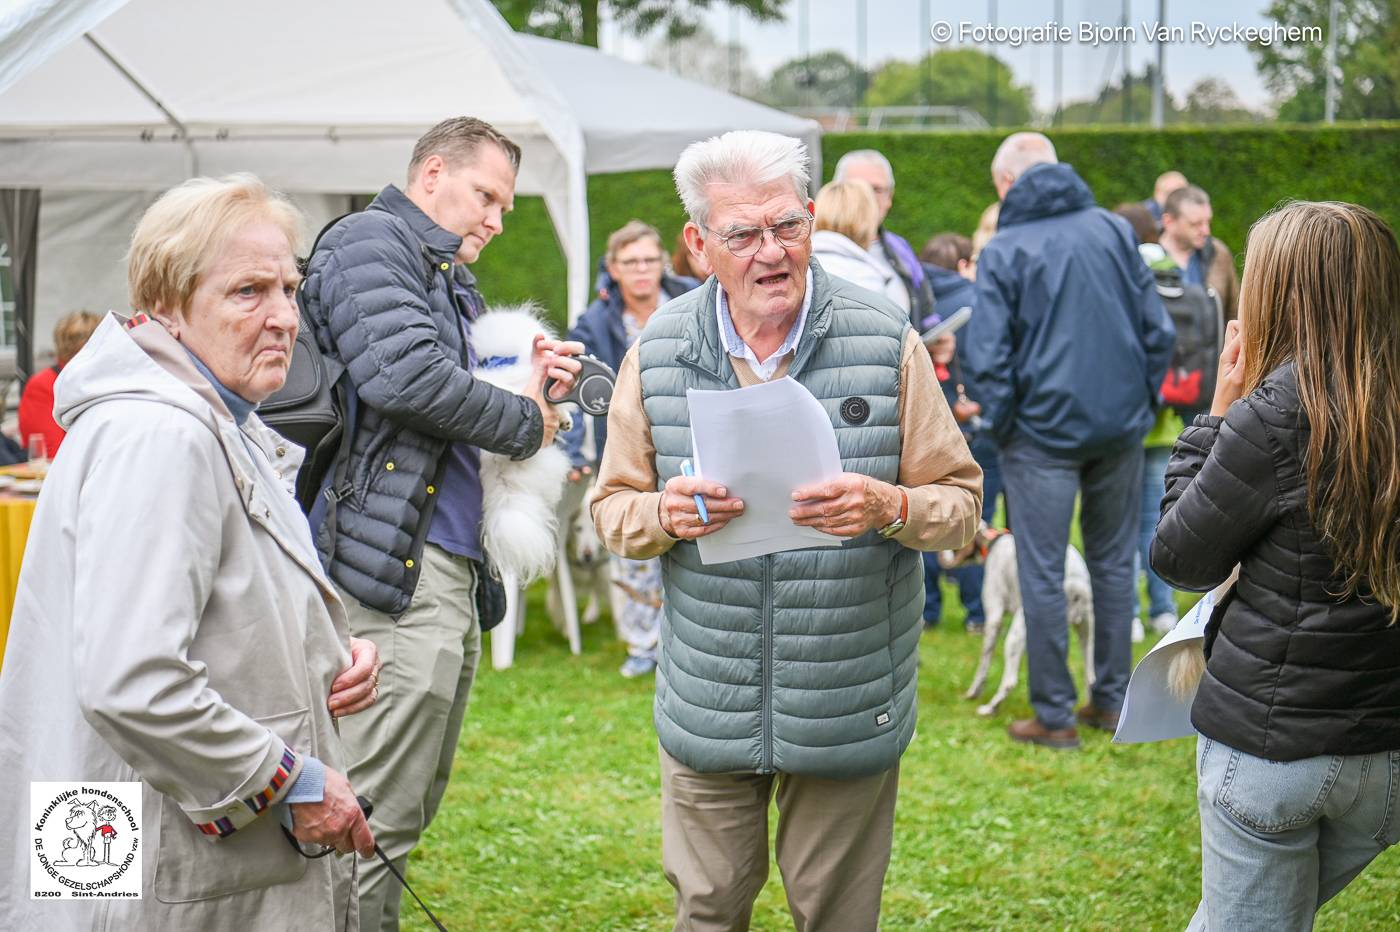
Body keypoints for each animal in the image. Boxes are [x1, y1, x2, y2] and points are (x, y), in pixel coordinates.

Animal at [963, 528, 1092, 716]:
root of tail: (1075, 585)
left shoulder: (994, 618)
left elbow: (983, 664)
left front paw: (973, 693)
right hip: (1087, 634)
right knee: (1090, 677)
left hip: (1016, 635)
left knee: (1010, 681)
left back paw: (990, 708)